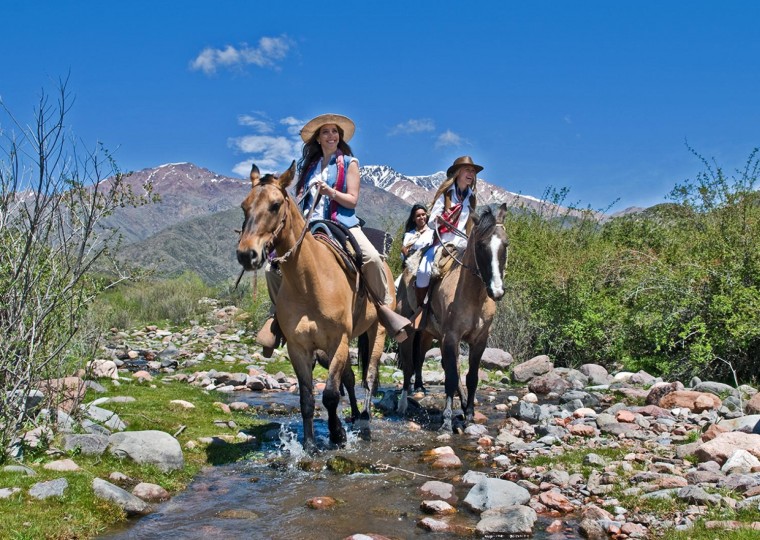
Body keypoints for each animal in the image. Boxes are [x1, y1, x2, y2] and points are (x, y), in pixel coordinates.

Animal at [236, 162, 392, 451]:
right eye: (244, 206)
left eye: (275, 205)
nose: (246, 254)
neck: (309, 282)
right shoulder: (299, 348)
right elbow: (307, 398)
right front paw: (310, 444)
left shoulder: (338, 340)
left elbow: (330, 394)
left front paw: (337, 435)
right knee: (350, 378)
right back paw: (354, 416)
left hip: (377, 330)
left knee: (369, 376)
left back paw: (364, 420)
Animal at [396, 204, 509, 432]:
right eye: (481, 246)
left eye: (506, 244)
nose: (497, 291)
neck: (474, 296)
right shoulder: (451, 338)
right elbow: (450, 377)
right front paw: (447, 421)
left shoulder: (478, 341)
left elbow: (471, 377)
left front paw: (470, 414)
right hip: (410, 333)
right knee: (409, 365)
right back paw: (403, 405)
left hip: (430, 336)